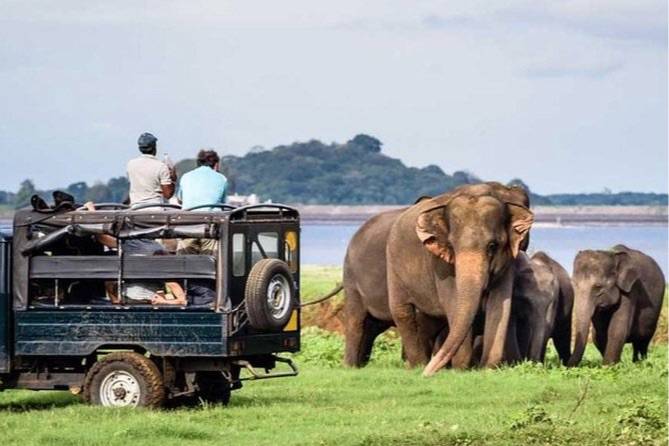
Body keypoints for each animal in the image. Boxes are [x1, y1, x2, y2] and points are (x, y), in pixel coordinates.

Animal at [342, 183, 531, 369]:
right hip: (377, 270)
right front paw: (460, 369)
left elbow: (500, 305)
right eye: (452, 246)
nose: (429, 372)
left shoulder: (508, 261)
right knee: (389, 314)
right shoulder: (441, 265)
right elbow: (453, 303)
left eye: (493, 245)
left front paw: (487, 368)